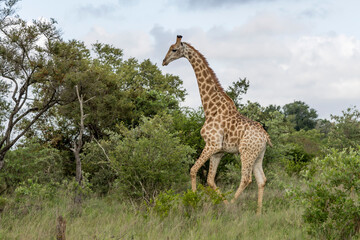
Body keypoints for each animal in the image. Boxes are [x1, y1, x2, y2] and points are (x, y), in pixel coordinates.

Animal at [162, 35, 272, 214]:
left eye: (174, 49)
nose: (164, 61)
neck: (210, 108)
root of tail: (265, 136)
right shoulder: (218, 152)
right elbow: (210, 180)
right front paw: (220, 202)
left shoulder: (212, 144)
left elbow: (193, 170)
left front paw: (193, 201)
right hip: (259, 155)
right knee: (262, 179)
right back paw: (258, 212)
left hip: (246, 152)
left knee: (246, 178)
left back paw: (233, 205)